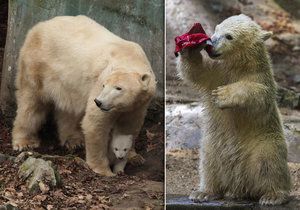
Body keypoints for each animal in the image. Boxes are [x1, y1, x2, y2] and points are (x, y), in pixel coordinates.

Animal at [12, 15, 156, 176]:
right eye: (104, 85)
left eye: (119, 88)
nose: (99, 102)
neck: (131, 58)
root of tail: (38, 26)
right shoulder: (99, 82)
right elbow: (95, 123)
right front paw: (104, 170)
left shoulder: (139, 103)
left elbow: (130, 125)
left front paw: (134, 157)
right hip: (37, 64)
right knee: (31, 102)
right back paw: (24, 142)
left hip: (66, 81)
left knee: (68, 110)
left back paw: (74, 140)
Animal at [178, 14, 290, 205]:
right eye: (216, 29)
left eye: (229, 36)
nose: (210, 44)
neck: (238, 66)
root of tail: (240, 184)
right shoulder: (217, 73)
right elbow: (197, 72)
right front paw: (191, 46)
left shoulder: (261, 79)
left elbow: (257, 94)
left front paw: (223, 95)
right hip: (212, 144)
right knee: (209, 164)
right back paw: (204, 192)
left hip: (265, 142)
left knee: (269, 163)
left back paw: (273, 195)